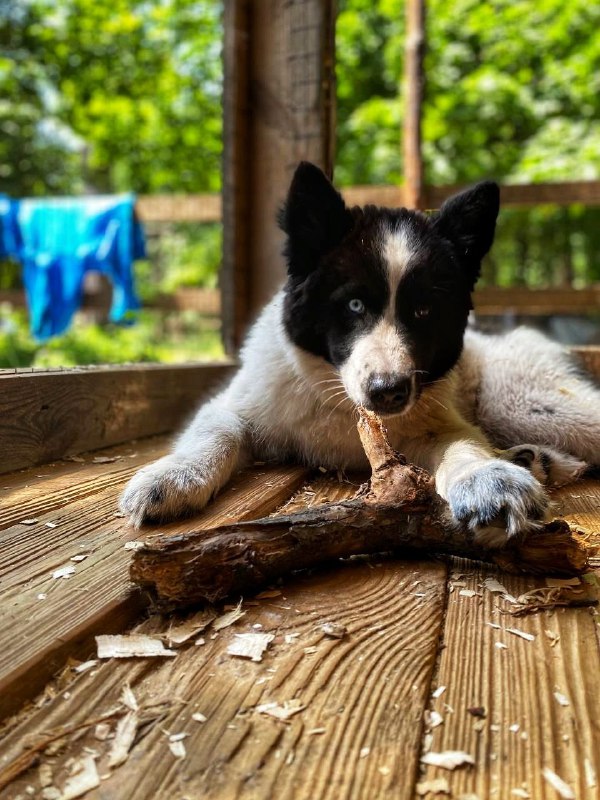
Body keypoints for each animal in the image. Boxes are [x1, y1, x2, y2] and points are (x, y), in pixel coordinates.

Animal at [123, 162, 600, 548]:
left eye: (423, 311)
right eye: (354, 305)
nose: (388, 392)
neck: (340, 402)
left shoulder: (436, 425)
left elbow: (463, 444)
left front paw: (485, 479)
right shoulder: (235, 405)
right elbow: (217, 431)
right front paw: (174, 476)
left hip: (522, 405)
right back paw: (536, 460)